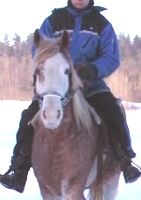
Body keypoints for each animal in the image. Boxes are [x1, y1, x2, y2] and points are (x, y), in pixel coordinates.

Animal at [30, 29, 120, 200]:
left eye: (67, 71)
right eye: (38, 71)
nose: (52, 114)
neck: (57, 141)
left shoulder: (73, 189)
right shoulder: (47, 190)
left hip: (110, 181)